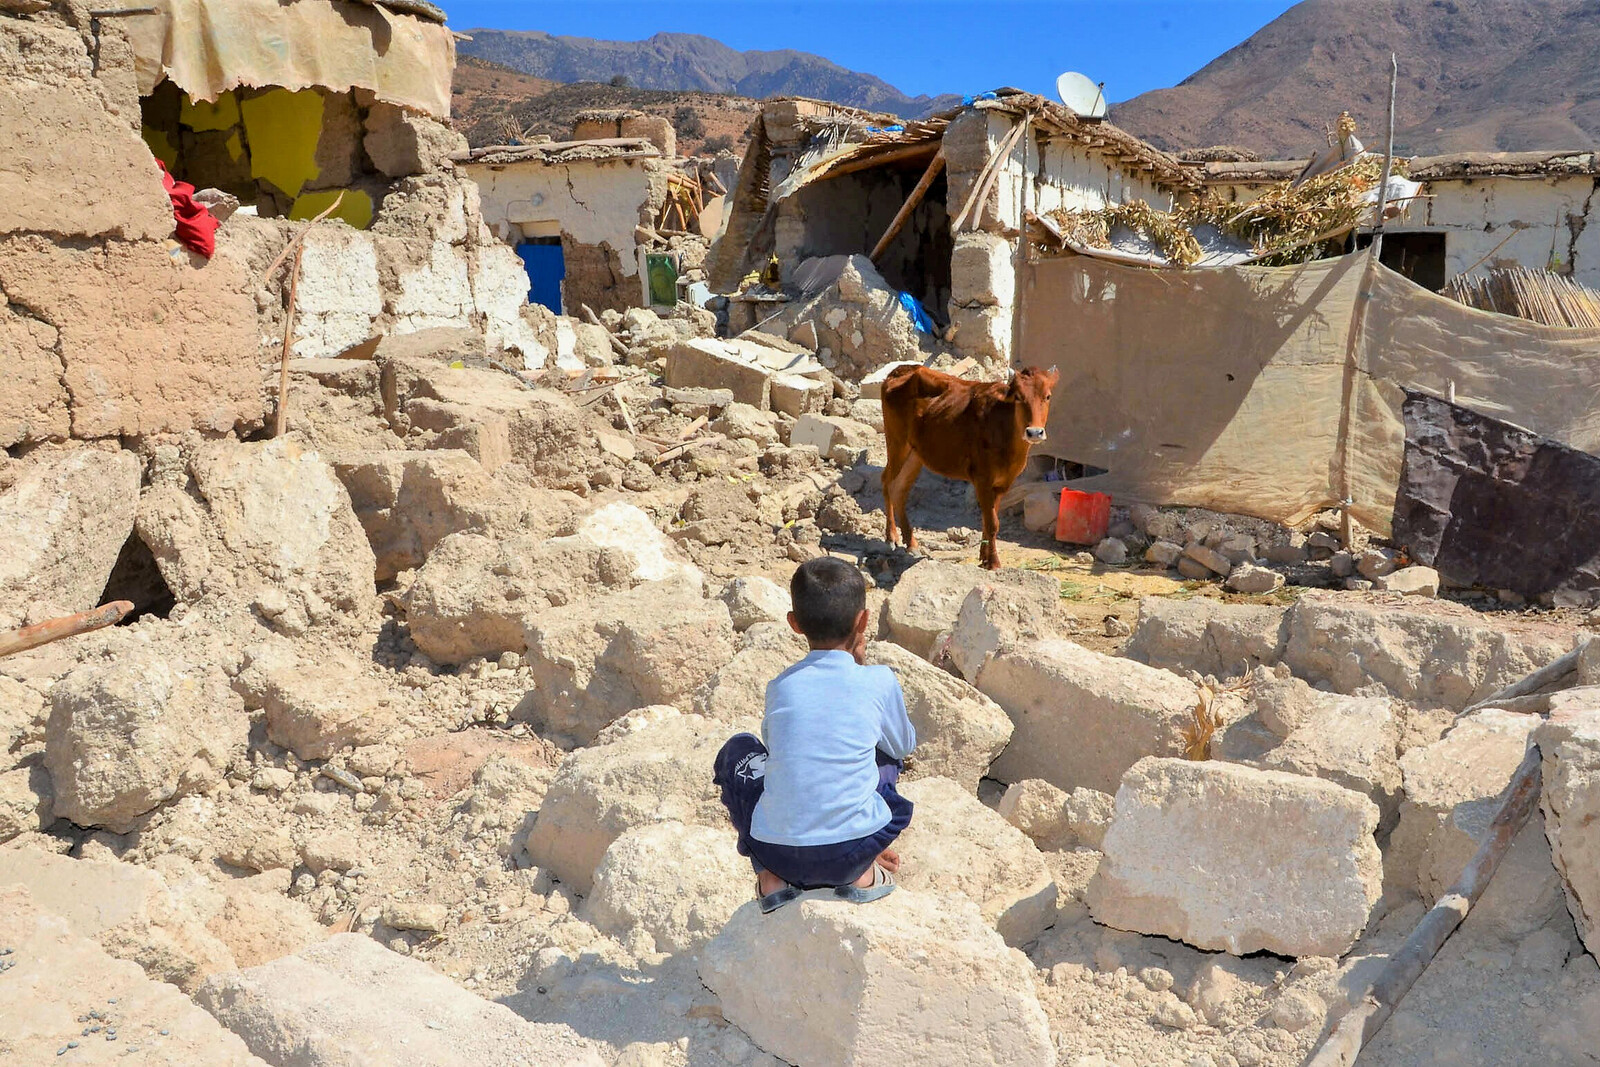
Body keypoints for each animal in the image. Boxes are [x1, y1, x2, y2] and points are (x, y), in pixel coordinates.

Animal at [883, 364, 1056, 572]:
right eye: (1018, 397)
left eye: (1047, 396)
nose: (1034, 432)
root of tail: (901, 369)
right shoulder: (982, 477)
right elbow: (992, 523)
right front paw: (994, 563)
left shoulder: (1002, 483)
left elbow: (989, 519)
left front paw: (984, 557)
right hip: (897, 443)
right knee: (886, 482)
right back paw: (891, 537)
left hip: (915, 454)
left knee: (899, 489)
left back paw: (911, 543)